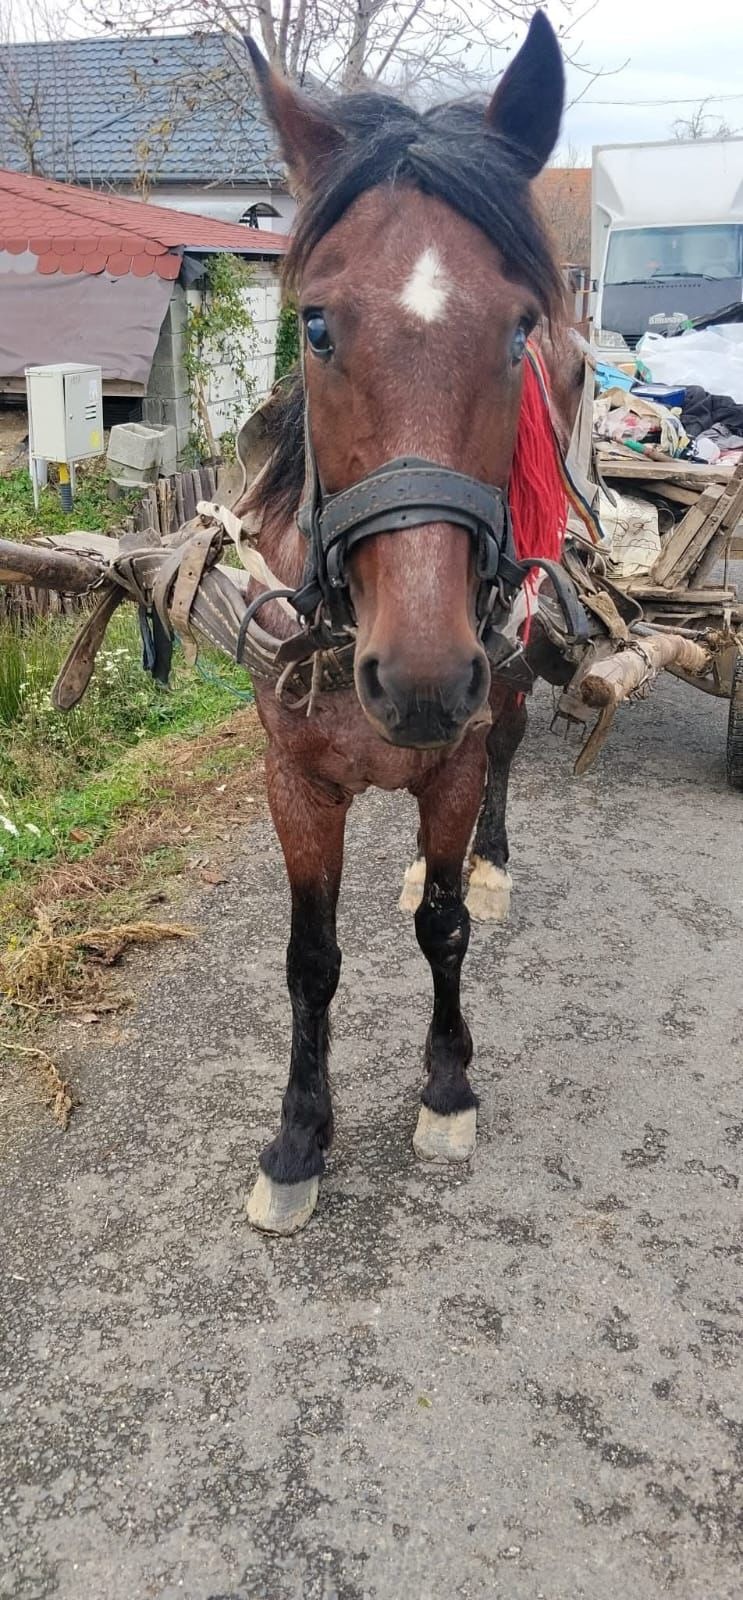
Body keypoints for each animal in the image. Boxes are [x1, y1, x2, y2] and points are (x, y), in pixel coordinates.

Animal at [240, 12, 576, 1233]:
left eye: (517, 329)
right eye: (315, 324)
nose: (425, 678)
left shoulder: (457, 752)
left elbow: (442, 926)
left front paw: (444, 1087)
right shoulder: (294, 778)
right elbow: (309, 956)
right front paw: (298, 1137)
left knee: (509, 753)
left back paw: (489, 859)